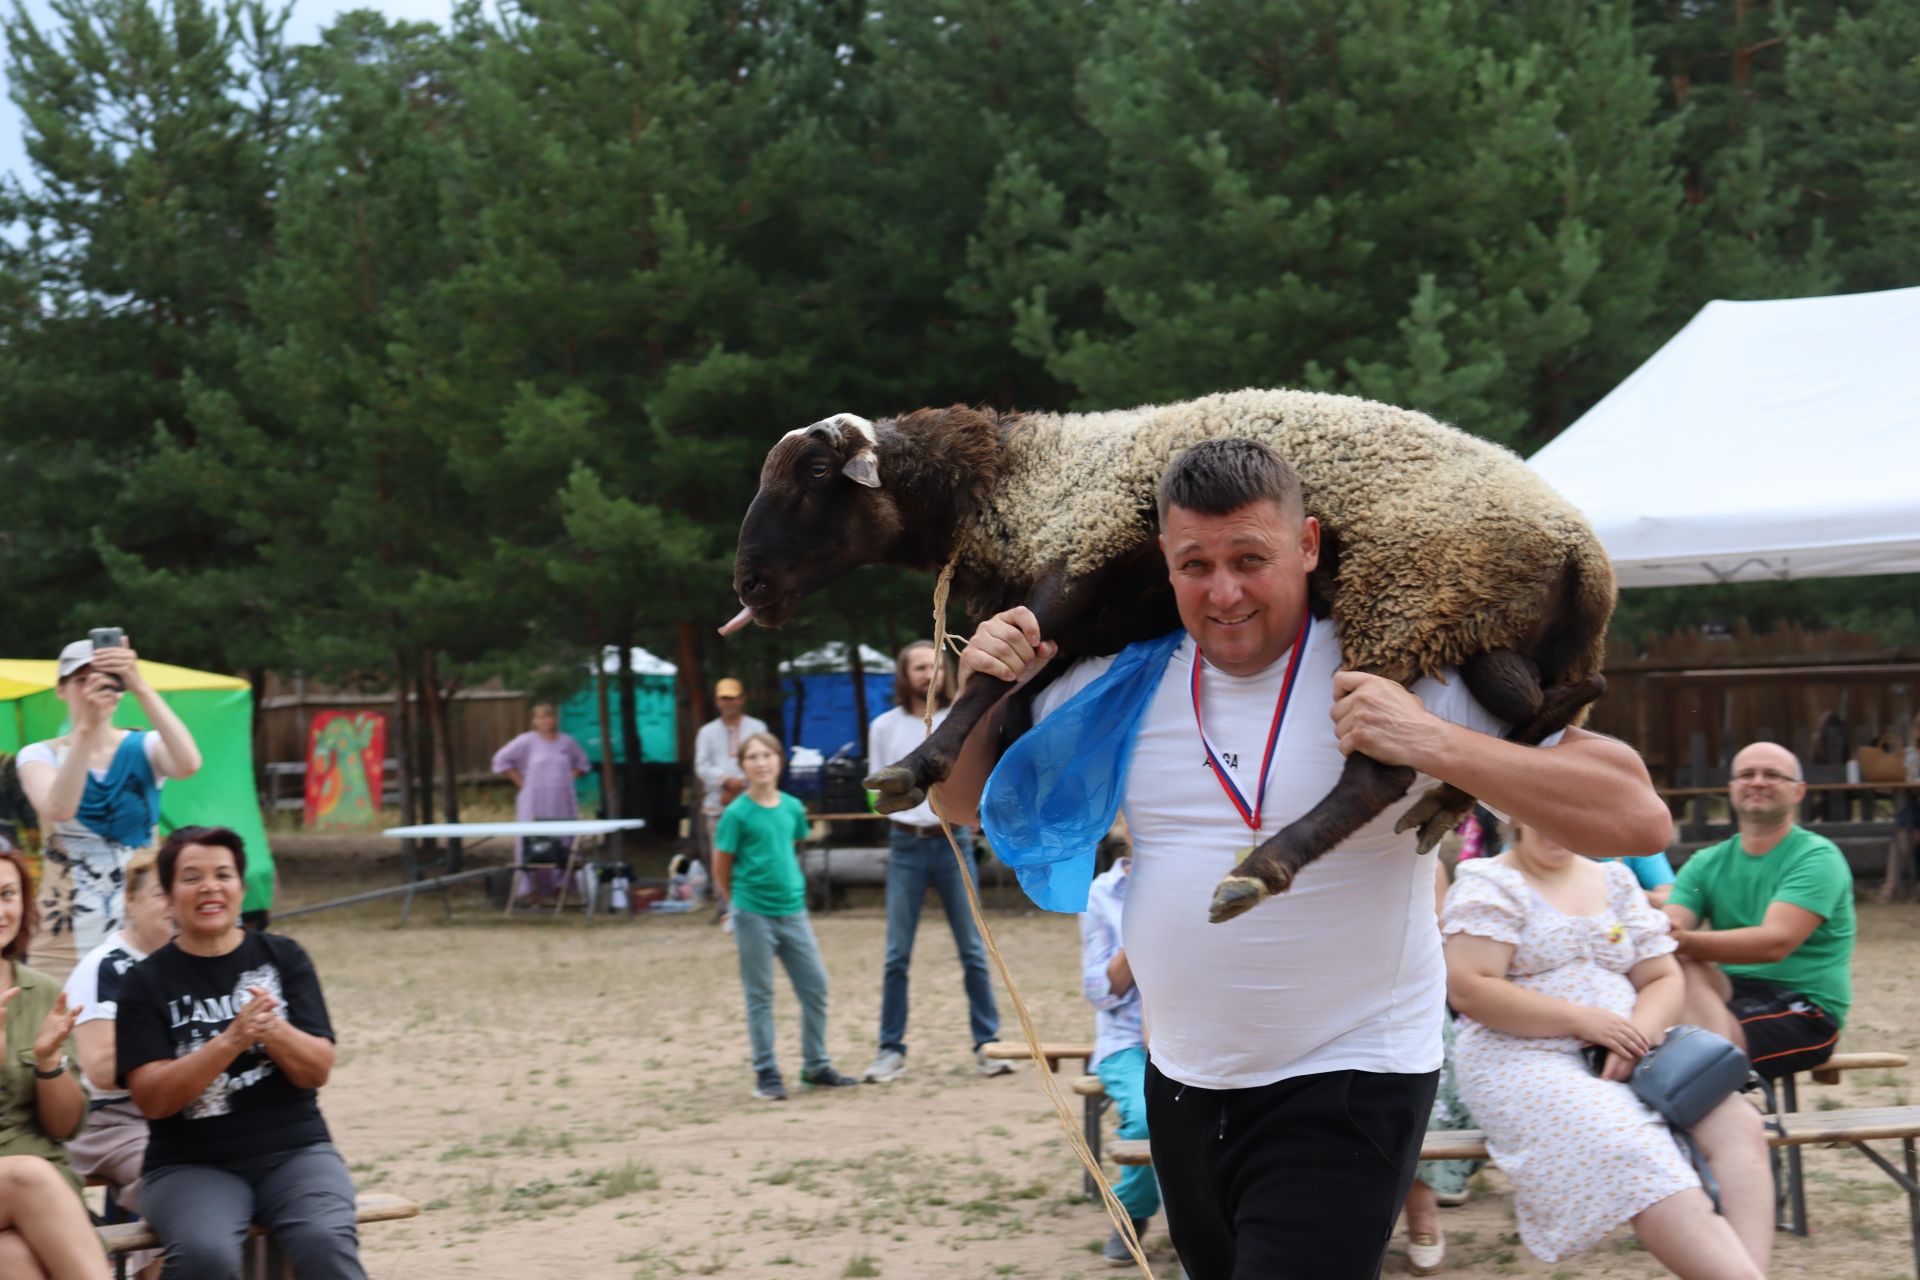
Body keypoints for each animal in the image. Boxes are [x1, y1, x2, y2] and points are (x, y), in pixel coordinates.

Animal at [725, 385, 1612, 917]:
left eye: (815, 470)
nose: (750, 583)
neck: (1010, 480)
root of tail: (1583, 554)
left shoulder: (1083, 544)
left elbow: (987, 685)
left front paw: (910, 769)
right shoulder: (1102, 617)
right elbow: (1013, 700)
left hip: (1403, 596)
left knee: (1378, 774)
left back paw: (1261, 867)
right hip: (1481, 632)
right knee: (1552, 706)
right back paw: (1450, 800)